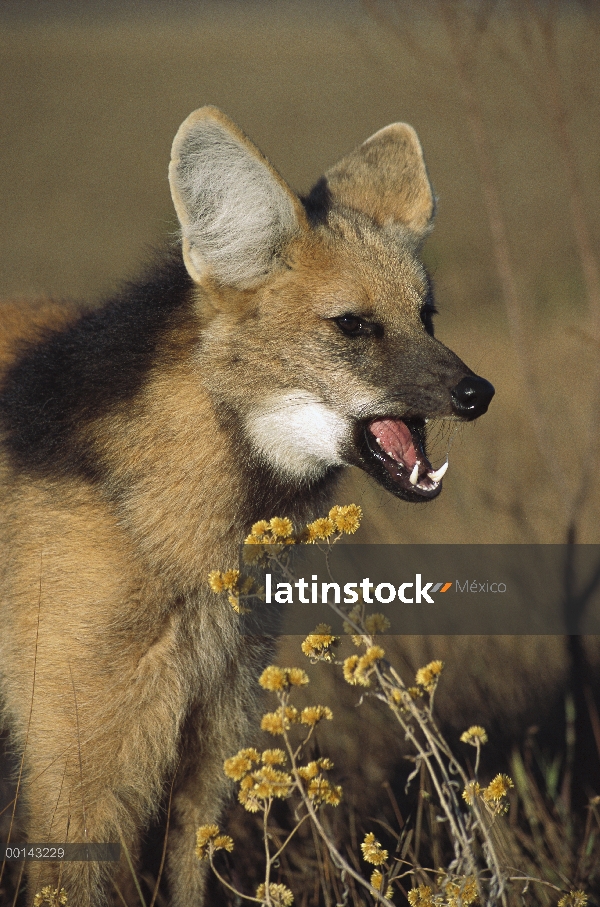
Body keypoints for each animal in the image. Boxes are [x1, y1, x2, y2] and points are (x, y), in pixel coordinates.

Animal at [1, 108, 492, 907]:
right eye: (354, 325)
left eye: (427, 316)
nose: (478, 393)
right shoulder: (75, 767)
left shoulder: (209, 741)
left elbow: (186, 872)